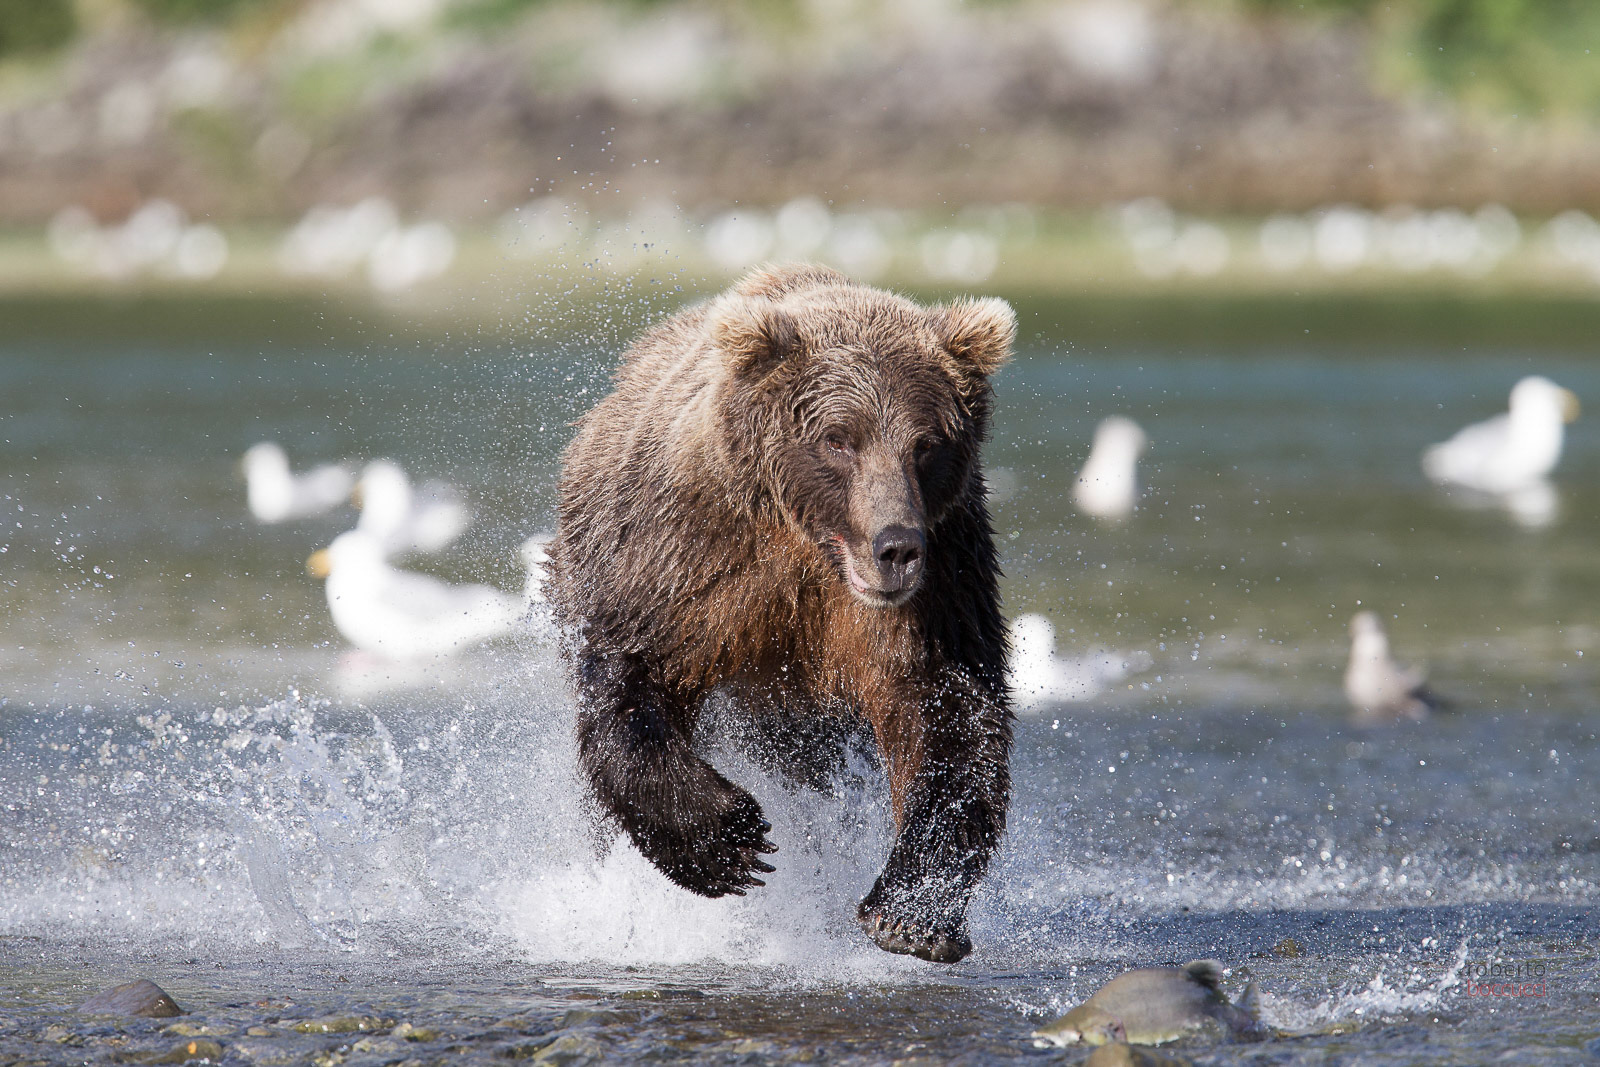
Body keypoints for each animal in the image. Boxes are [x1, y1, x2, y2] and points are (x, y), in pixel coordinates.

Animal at [549, 263, 1015, 963]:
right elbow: (630, 680)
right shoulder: (689, 561)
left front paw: (910, 916)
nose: (896, 548)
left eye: (927, 443)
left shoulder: (939, 588)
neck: (810, 551)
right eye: (838, 439)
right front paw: (731, 841)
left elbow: (951, 718)